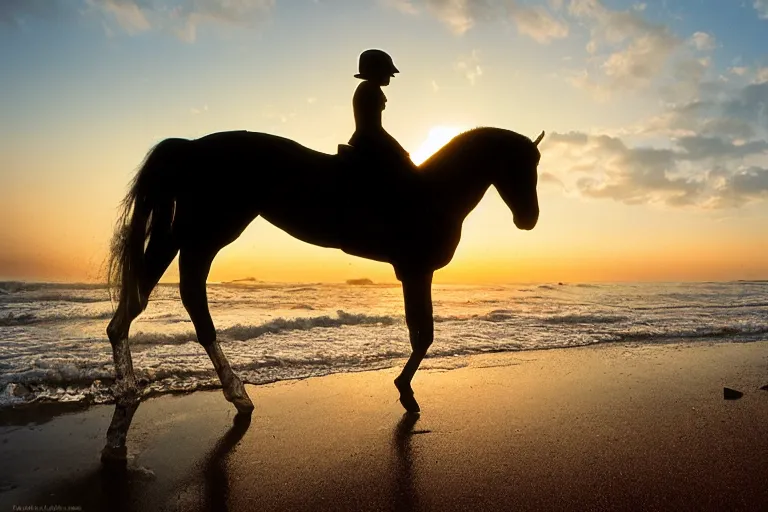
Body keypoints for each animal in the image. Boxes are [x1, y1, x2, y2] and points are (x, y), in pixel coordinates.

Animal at [102, 127, 544, 464]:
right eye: (520, 166)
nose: (529, 219)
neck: (434, 191)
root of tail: (193, 145)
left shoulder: (412, 273)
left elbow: (420, 332)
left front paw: (405, 389)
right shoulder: (415, 271)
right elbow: (424, 334)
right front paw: (404, 389)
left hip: (192, 228)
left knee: (148, 285)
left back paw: (128, 387)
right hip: (210, 227)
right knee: (191, 293)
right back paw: (234, 392)